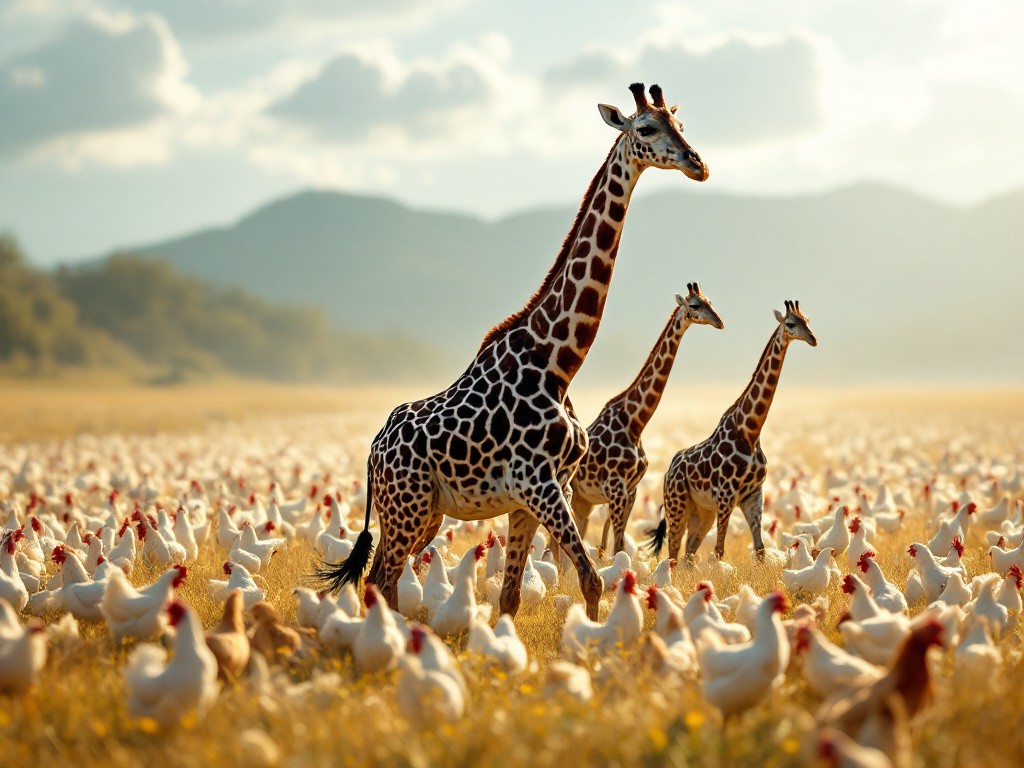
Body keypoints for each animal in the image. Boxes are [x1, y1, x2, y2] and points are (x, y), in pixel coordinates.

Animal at [315, 81, 708, 622]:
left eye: (681, 125)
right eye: (646, 128)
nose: (697, 163)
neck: (558, 361)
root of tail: (374, 450)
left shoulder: (536, 495)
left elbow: (512, 595)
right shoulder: (537, 483)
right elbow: (589, 578)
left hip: (425, 513)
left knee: (386, 578)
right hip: (406, 506)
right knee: (378, 577)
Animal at [573, 280, 724, 552]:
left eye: (710, 302)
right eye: (695, 305)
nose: (719, 321)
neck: (635, 422)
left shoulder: (631, 491)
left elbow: (618, 545)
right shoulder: (616, 489)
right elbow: (618, 547)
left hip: (583, 500)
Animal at [651, 301, 819, 565]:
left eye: (807, 321)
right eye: (791, 324)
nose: (812, 339)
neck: (750, 431)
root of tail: (668, 471)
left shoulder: (753, 495)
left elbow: (759, 549)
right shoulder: (726, 496)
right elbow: (720, 550)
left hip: (702, 511)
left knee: (689, 552)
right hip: (677, 503)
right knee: (674, 553)